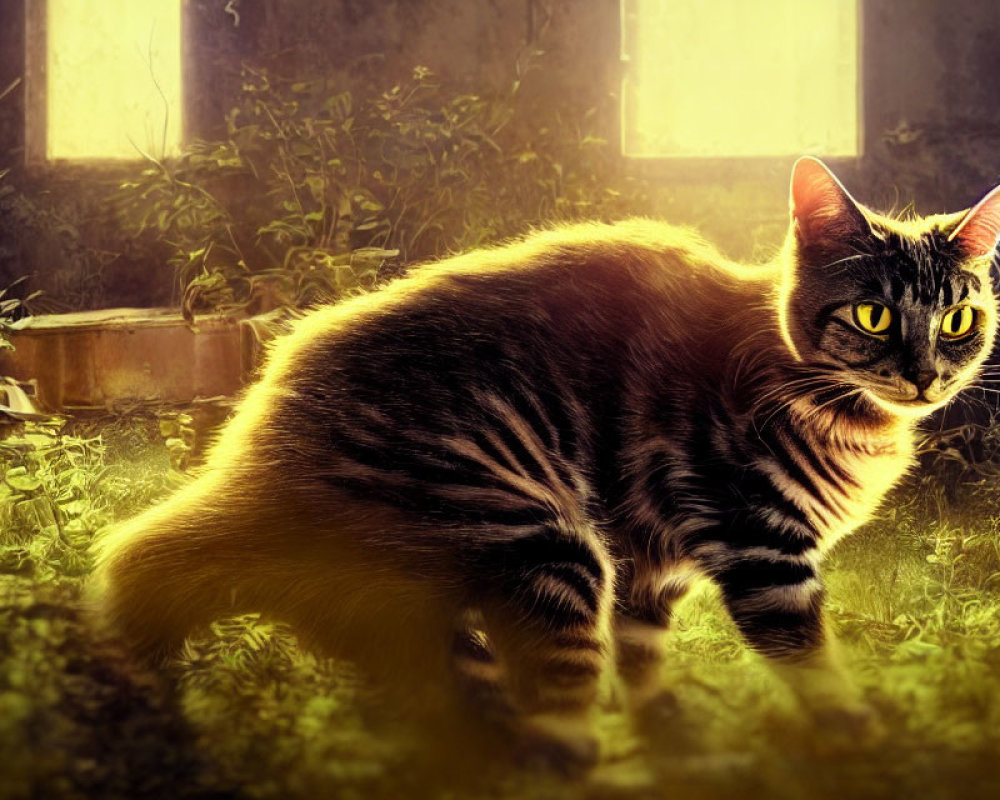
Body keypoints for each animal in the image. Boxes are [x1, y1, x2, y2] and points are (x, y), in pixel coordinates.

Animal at [88, 159, 1000, 772]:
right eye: (874, 315)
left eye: (958, 319)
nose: (926, 374)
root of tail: (259, 463)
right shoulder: (763, 554)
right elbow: (814, 667)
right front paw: (868, 744)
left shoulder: (648, 568)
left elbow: (645, 666)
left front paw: (676, 741)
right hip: (546, 544)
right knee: (546, 736)